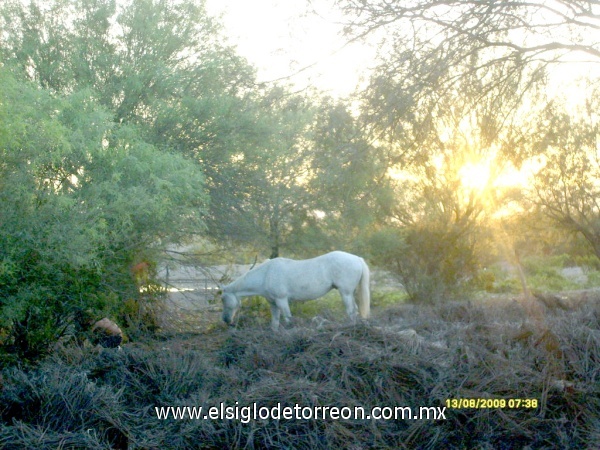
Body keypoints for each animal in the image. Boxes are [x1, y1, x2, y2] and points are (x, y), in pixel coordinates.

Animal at [221, 250, 370, 330]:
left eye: (223, 299)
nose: (226, 320)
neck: (266, 274)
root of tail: (357, 258)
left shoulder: (282, 300)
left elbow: (288, 319)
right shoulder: (273, 303)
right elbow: (275, 322)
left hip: (345, 293)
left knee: (351, 311)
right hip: (350, 293)